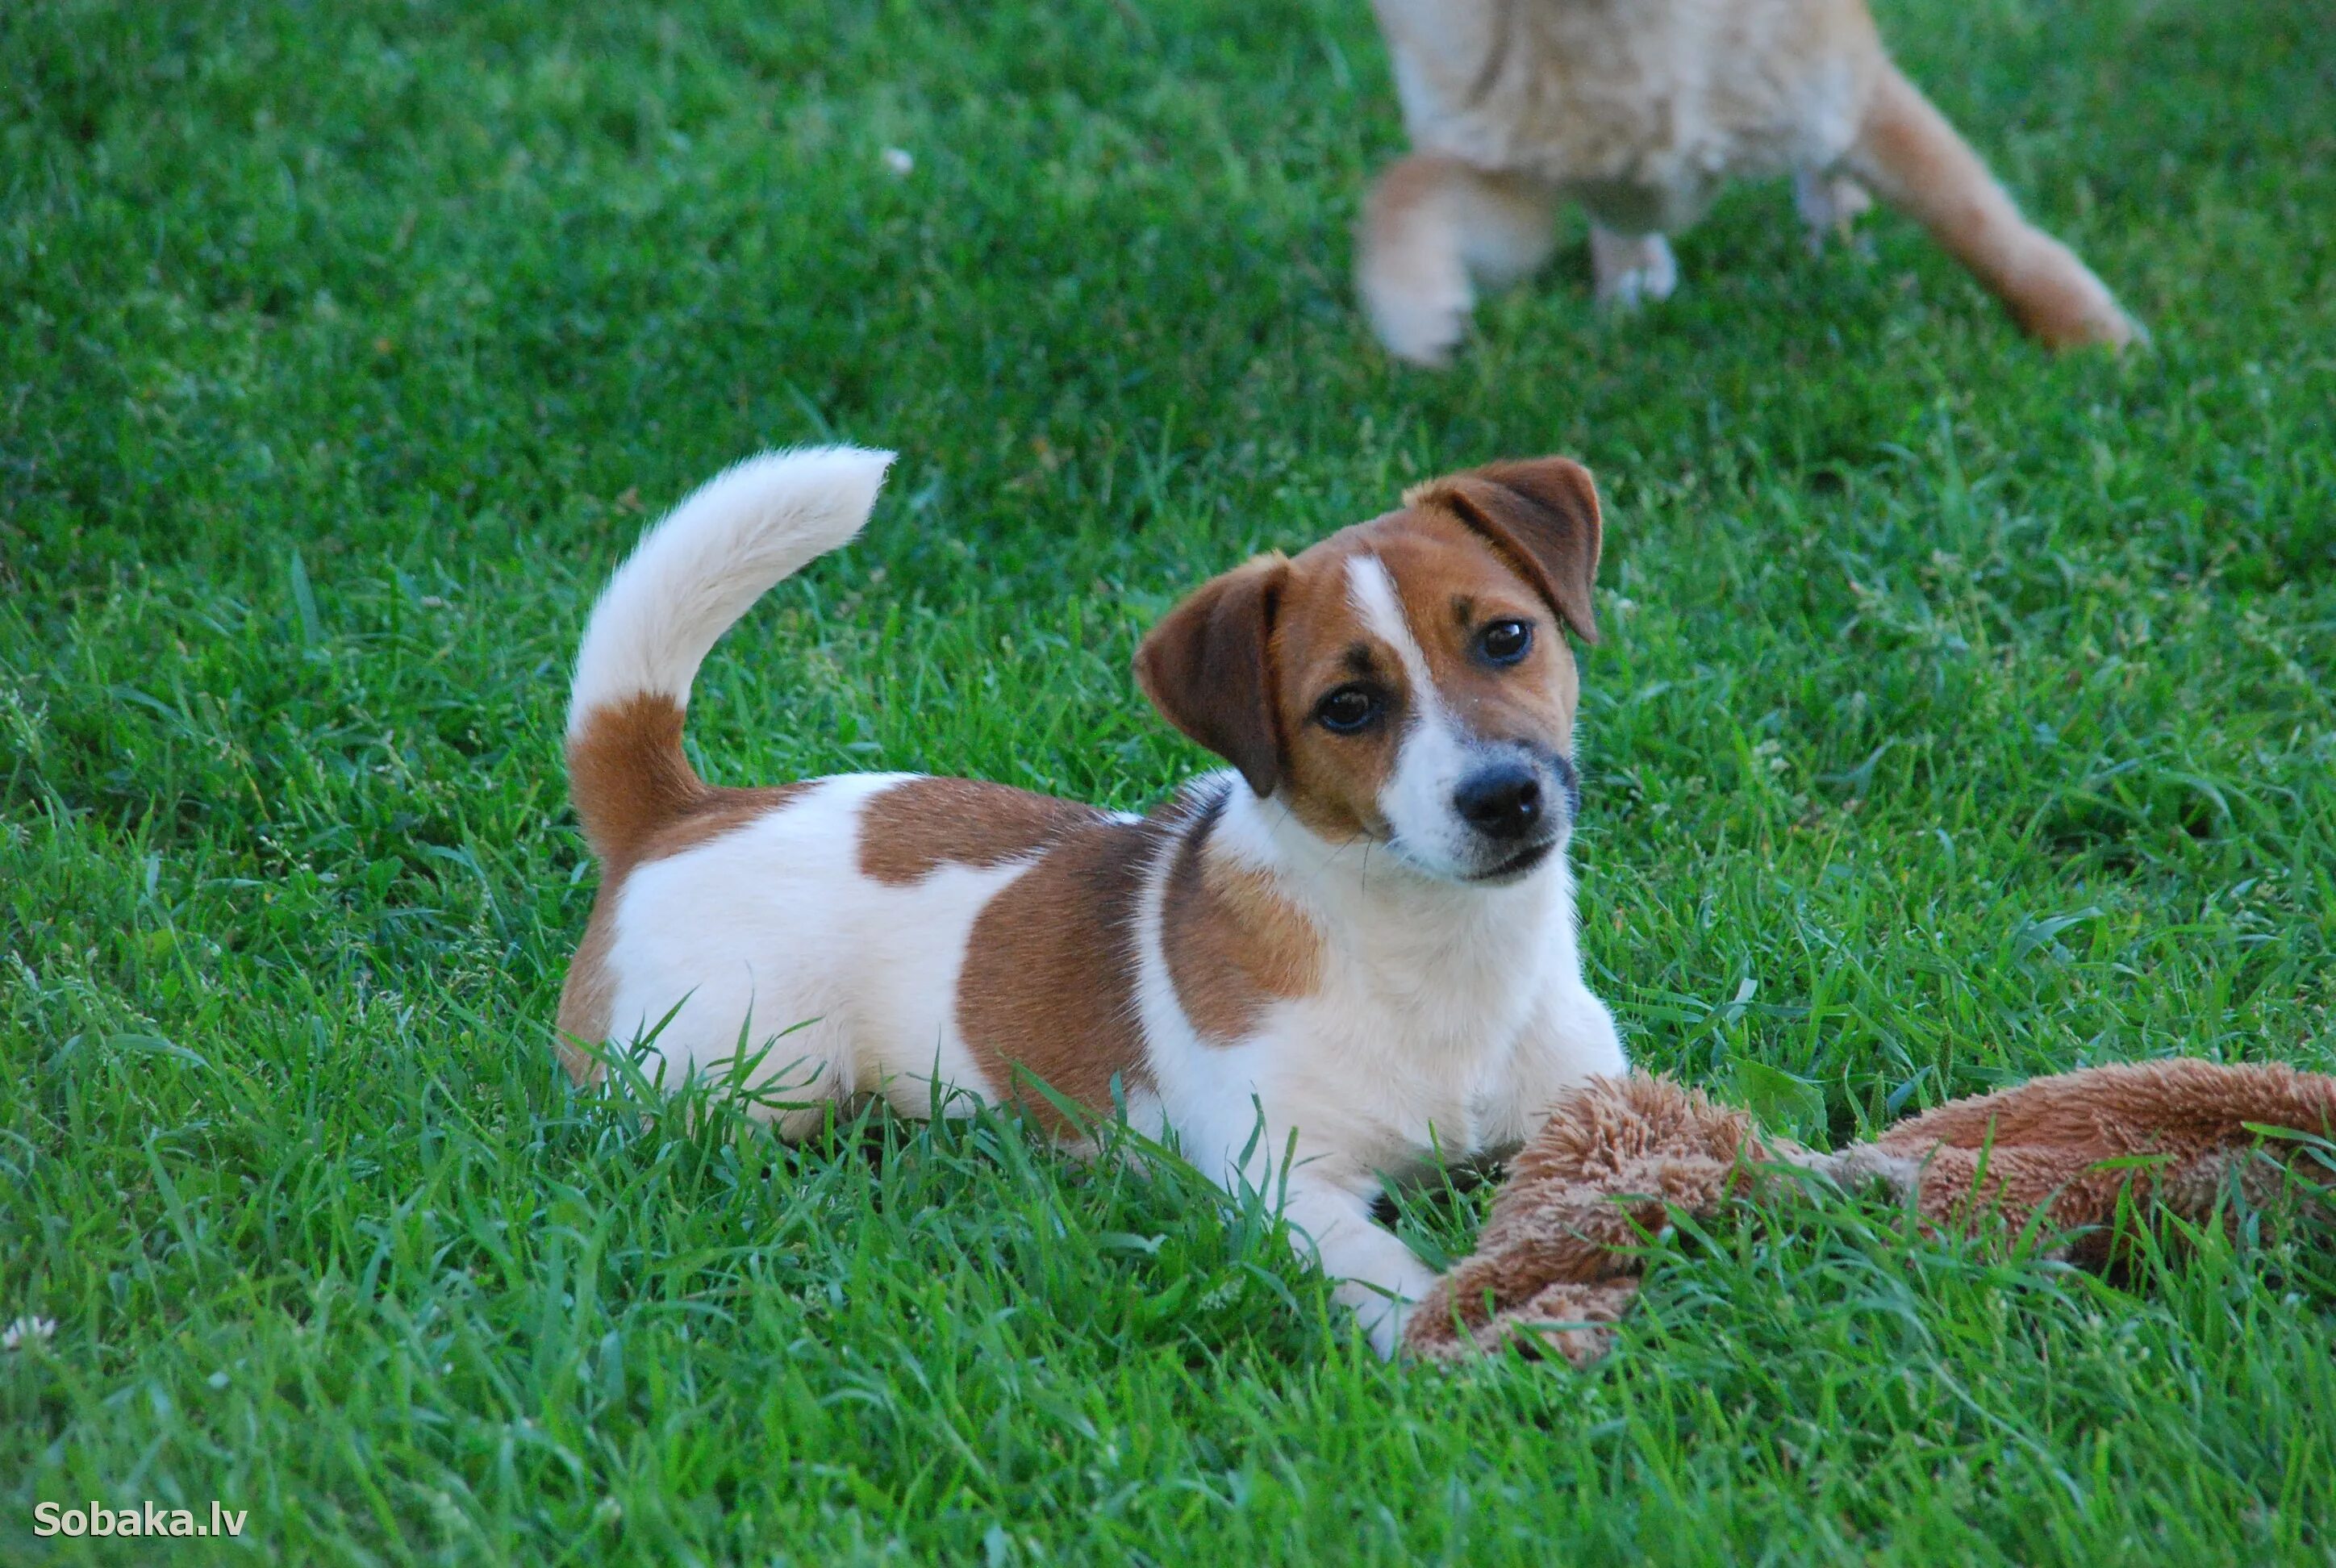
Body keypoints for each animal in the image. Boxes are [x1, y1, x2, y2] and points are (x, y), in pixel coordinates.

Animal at [558, 448, 1635, 1355]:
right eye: (1347, 708)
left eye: (1506, 638)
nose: (1503, 797)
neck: (1438, 952)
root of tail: (677, 813)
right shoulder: (1288, 1184)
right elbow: (1382, 1268)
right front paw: (1466, 1331)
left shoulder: (1581, 1111)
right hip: (738, 1078)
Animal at [1364, 0, 2139, 364]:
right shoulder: (1517, 183)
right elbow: (1403, 188)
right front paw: (1416, 309)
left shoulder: (1844, 97)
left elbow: (1979, 222)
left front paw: (2091, 334)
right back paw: (1633, 275)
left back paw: (1834, 220)